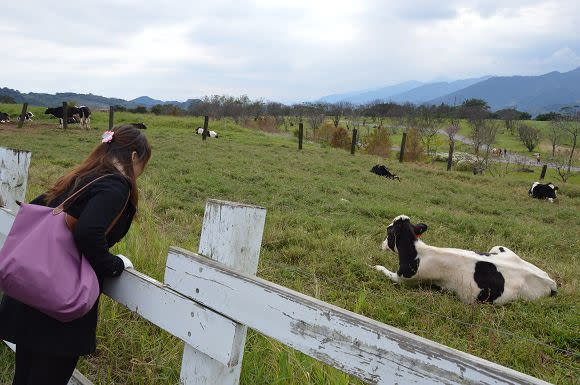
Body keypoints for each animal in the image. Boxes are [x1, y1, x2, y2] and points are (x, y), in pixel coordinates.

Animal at [374, 216, 560, 304]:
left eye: (388, 231)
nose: (381, 244)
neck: (417, 253)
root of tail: (551, 282)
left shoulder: (403, 279)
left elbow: (384, 270)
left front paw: (375, 266)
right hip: (499, 247)